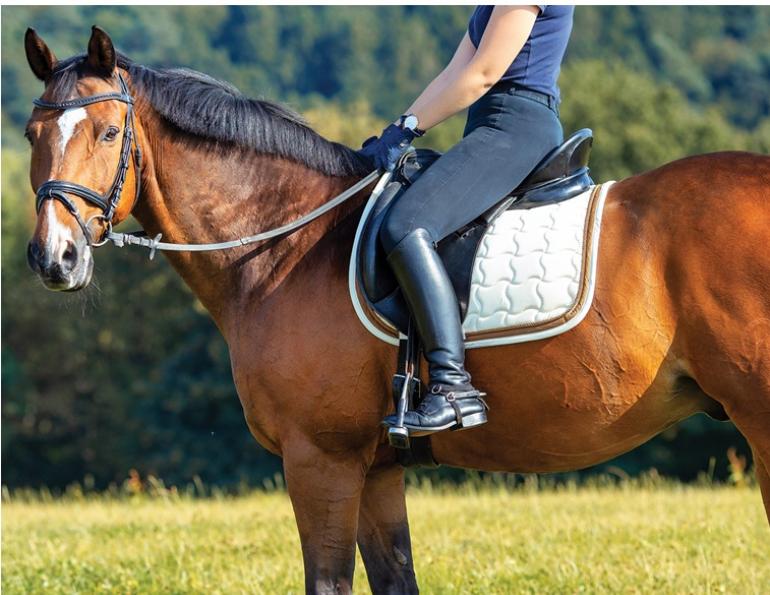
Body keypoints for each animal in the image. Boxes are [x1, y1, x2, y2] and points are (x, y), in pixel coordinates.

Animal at [23, 27, 770, 594]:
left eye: (108, 131)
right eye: (32, 133)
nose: (55, 257)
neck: (287, 242)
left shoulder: (320, 459)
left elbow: (327, 583)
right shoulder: (377, 466)